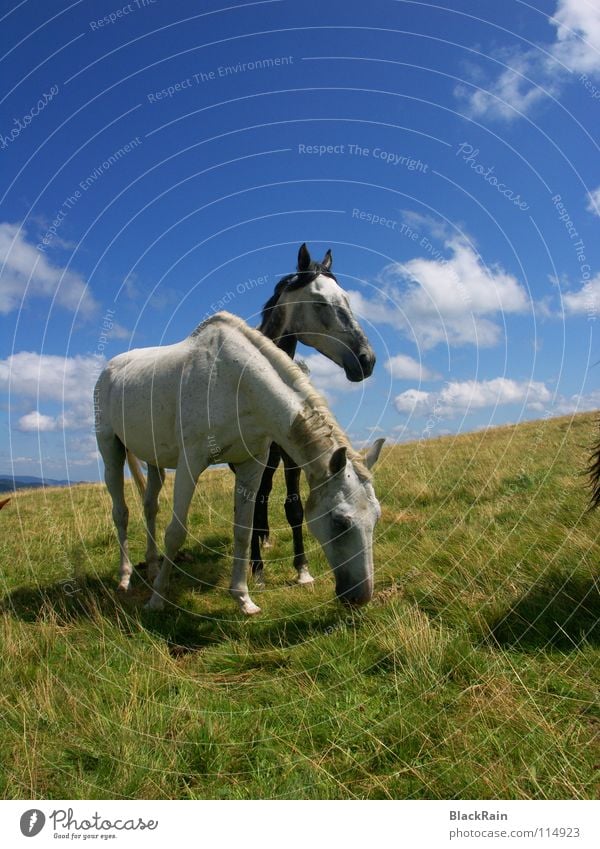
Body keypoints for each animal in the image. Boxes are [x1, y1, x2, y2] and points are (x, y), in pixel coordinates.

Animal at [96, 310, 382, 608]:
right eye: (340, 522)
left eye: (376, 517)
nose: (360, 596)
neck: (234, 381)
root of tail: (109, 369)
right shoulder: (190, 463)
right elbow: (175, 533)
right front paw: (157, 600)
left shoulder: (252, 464)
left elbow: (245, 530)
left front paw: (244, 598)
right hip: (110, 448)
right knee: (121, 512)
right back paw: (125, 579)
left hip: (154, 460)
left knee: (150, 506)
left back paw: (152, 568)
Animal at [246, 242, 378, 588]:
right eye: (320, 302)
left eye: (347, 299)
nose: (367, 360)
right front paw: (257, 571)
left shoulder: (292, 455)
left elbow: (293, 508)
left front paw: (302, 569)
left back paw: (264, 537)